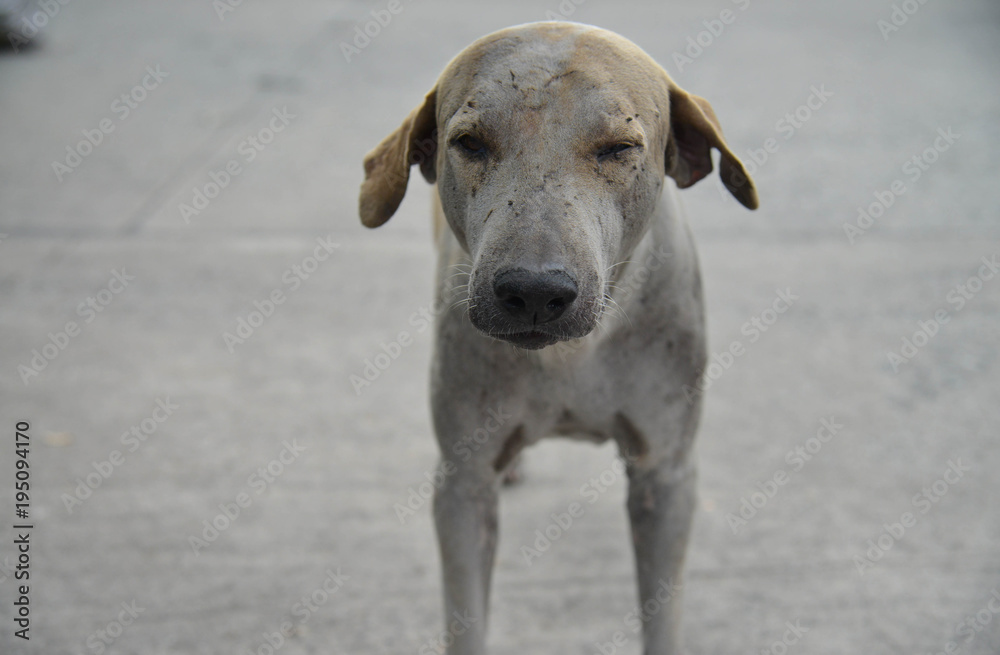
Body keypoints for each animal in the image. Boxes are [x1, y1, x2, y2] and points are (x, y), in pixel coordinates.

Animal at [360, 21, 756, 655]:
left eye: (619, 149)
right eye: (470, 143)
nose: (534, 291)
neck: (571, 355)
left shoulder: (666, 474)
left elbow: (662, 612)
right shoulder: (462, 486)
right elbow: (466, 616)